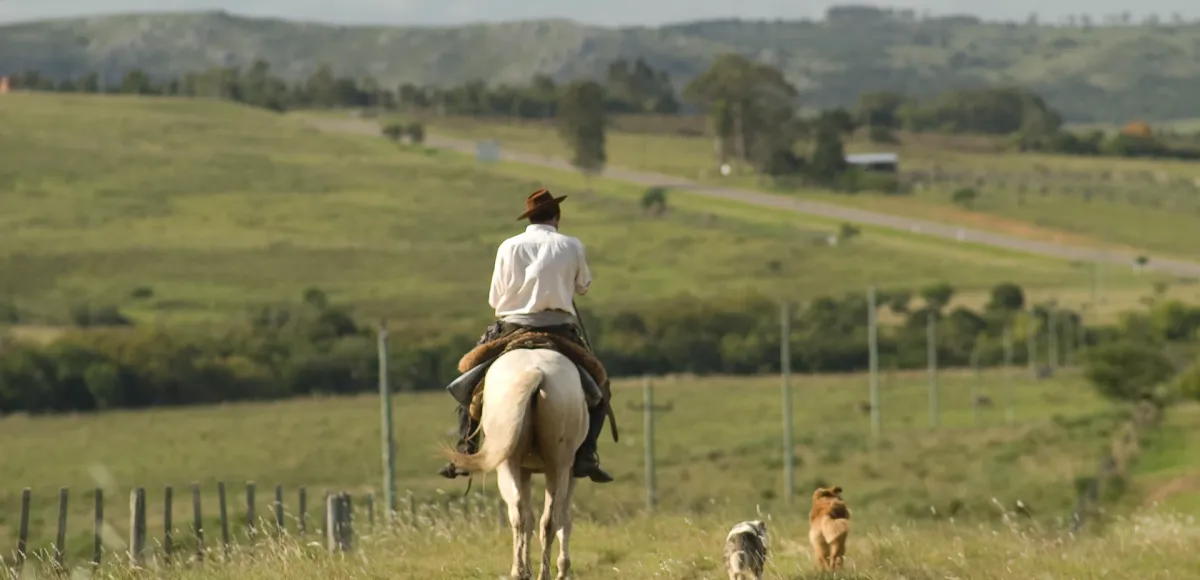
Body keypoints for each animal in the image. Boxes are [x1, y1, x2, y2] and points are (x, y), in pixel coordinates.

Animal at [446, 348, 585, 580]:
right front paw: (559, 568)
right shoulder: (552, 471)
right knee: (543, 519)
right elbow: (552, 519)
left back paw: (520, 571)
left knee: (521, 513)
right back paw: (537, 573)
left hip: (513, 464)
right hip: (555, 466)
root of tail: (537, 372)